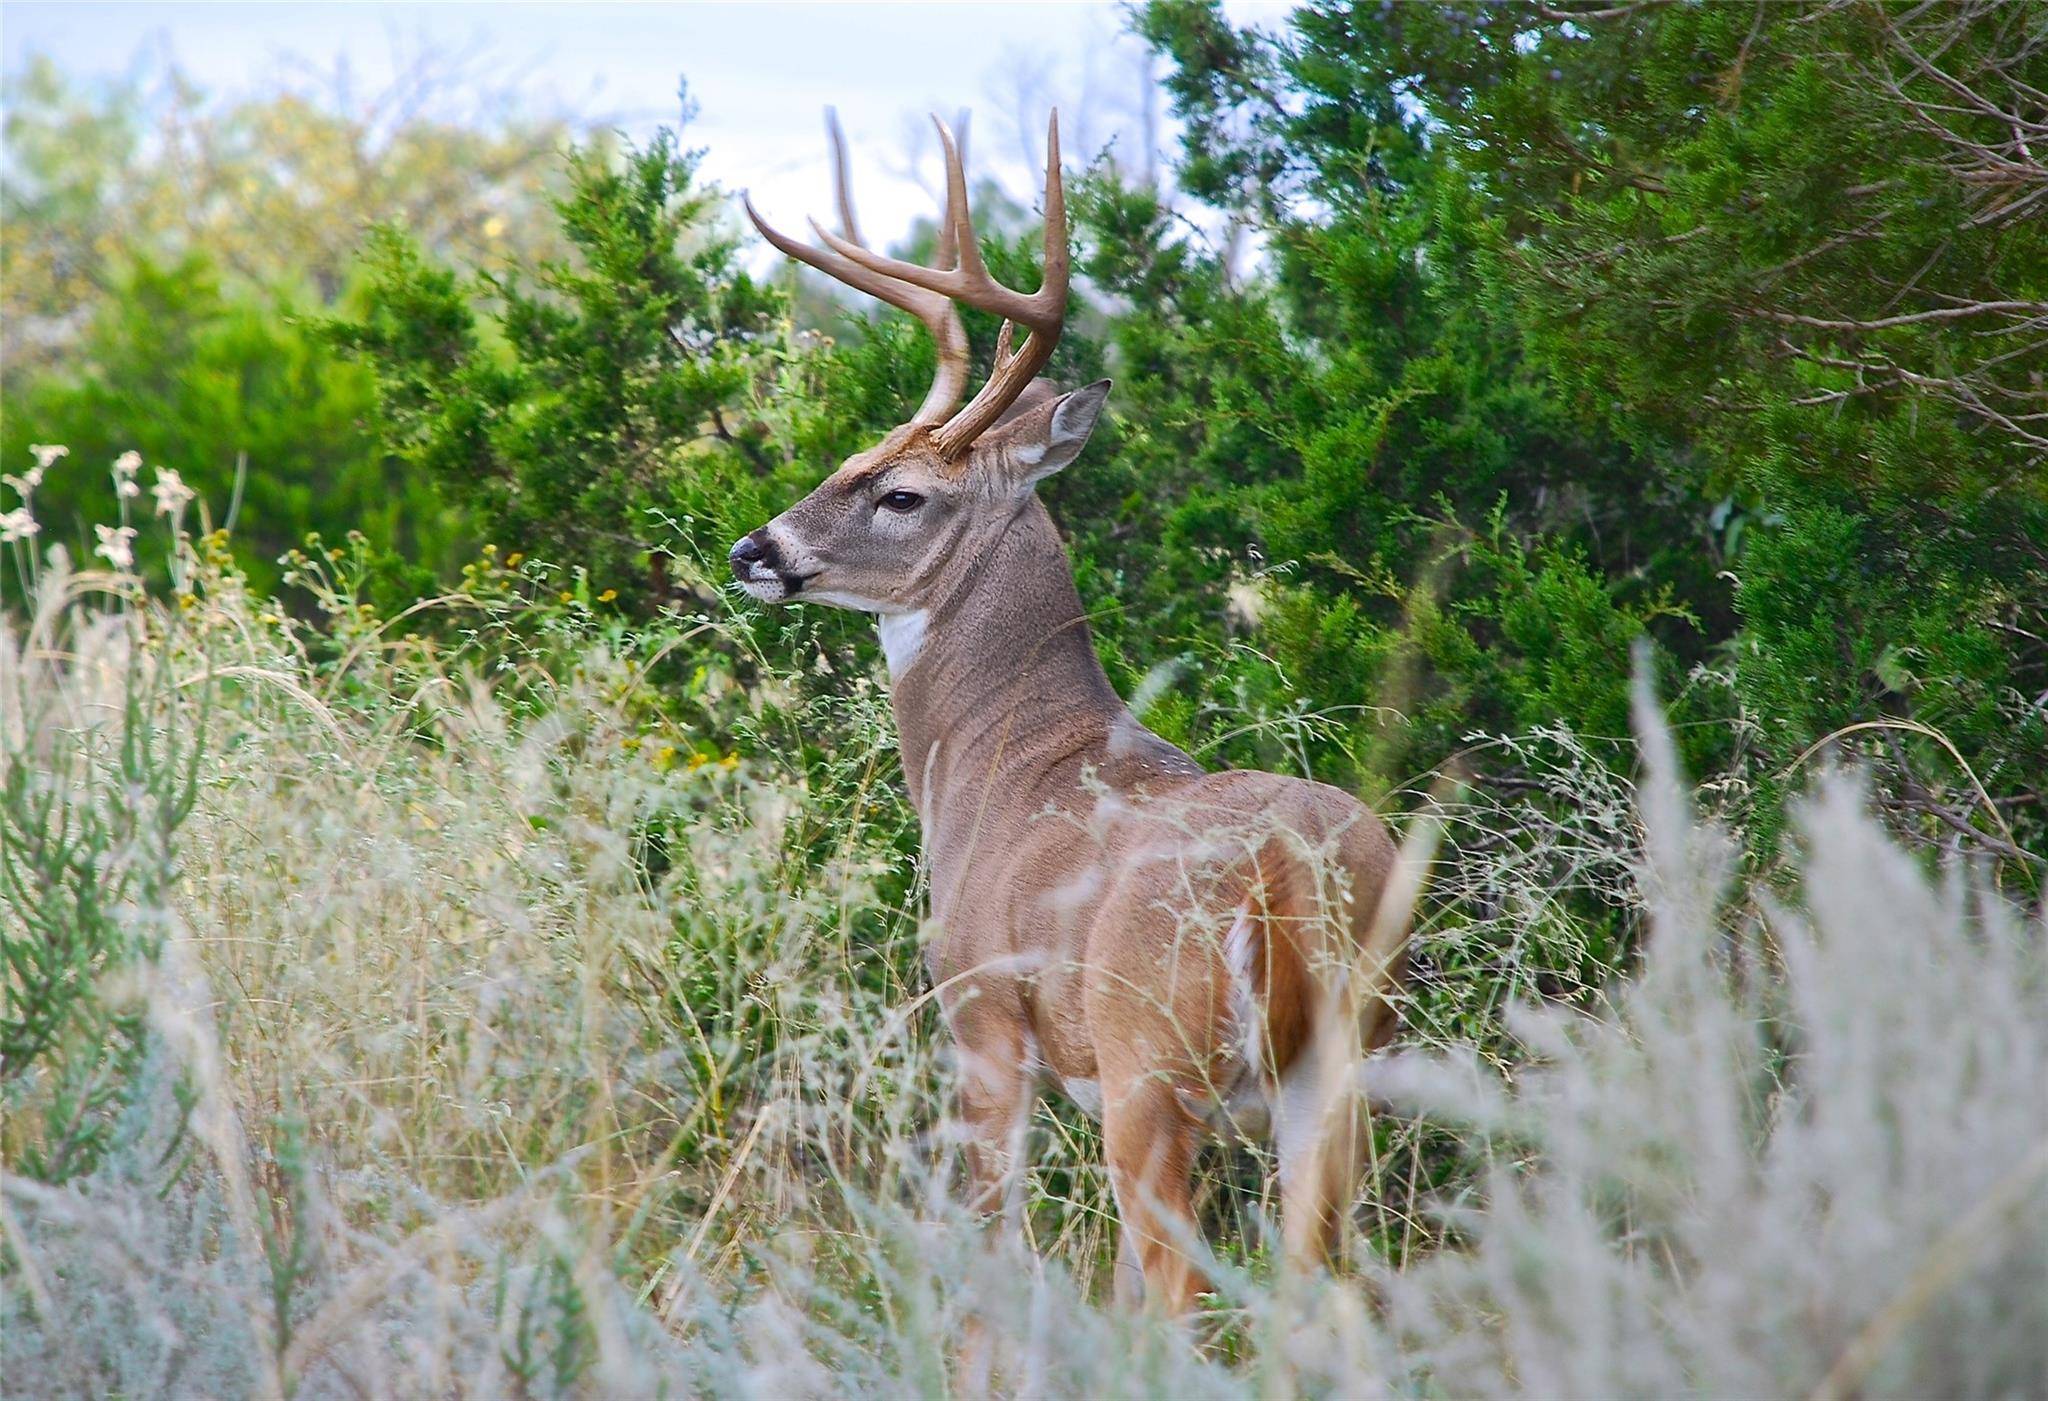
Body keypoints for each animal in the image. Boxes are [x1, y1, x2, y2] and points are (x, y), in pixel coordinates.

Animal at [737, 109, 1409, 1310]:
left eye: (901, 493)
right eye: (848, 457)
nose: (751, 552)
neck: (1003, 760)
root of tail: (1284, 874)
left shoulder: (981, 1017)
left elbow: (993, 1258)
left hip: (1150, 1064)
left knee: (1185, 1284)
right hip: (1342, 1065)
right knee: (1321, 1279)